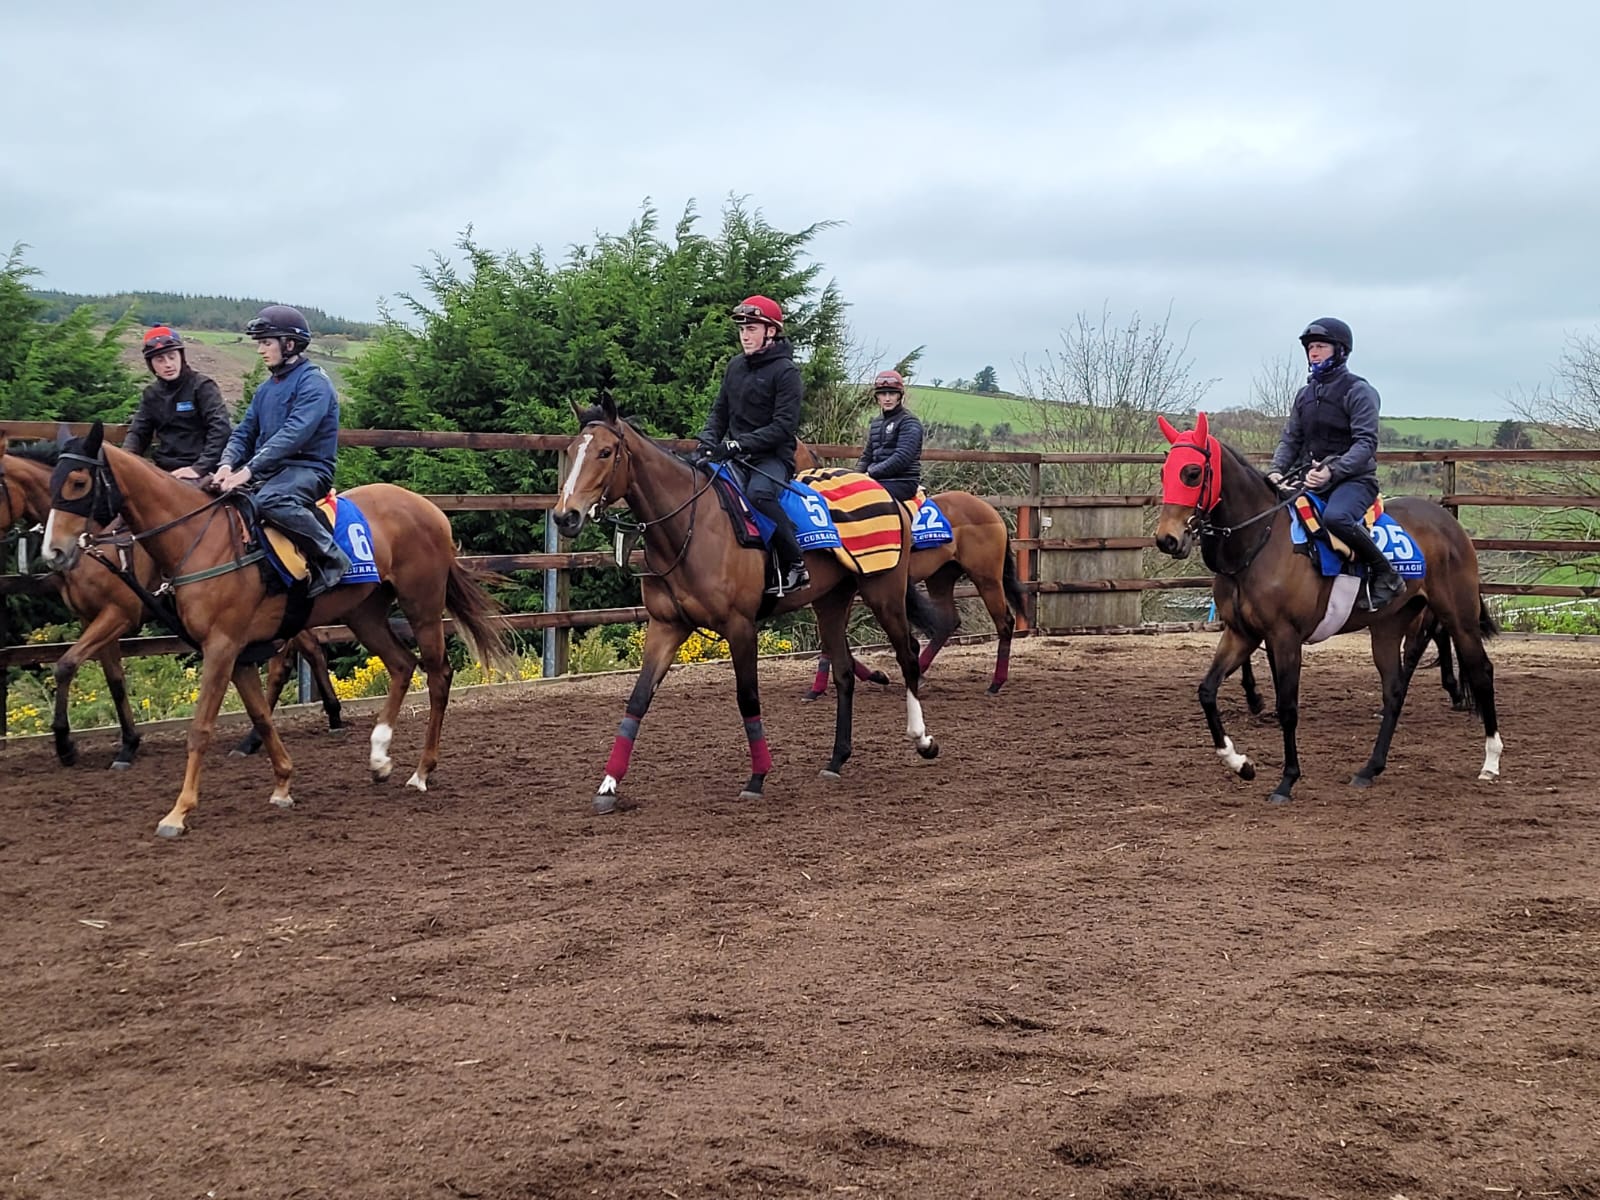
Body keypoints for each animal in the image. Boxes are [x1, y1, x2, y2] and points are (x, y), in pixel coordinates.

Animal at [1, 438, 340, 764]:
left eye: (78, 483)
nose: (54, 552)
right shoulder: (91, 617)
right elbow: (114, 679)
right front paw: (127, 743)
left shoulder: (118, 614)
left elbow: (66, 665)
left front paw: (66, 745)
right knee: (309, 649)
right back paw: (319, 717)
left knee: (290, 661)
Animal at [40, 422, 508, 838]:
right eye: (54, 482)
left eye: (78, 482)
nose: (54, 552)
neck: (200, 540)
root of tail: (428, 508)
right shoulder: (238, 654)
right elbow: (262, 718)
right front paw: (283, 783)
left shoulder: (221, 647)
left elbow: (200, 728)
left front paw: (178, 812)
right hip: (364, 613)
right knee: (401, 665)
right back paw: (379, 758)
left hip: (422, 606)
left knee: (438, 676)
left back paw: (421, 771)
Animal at [550, 396, 934, 819]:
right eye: (572, 450)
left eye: (605, 452)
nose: (565, 516)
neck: (689, 527)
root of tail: (886, 493)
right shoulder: (666, 626)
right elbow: (637, 699)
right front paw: (608, 784)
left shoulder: (740, 627)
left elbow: (747, 697)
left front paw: (758, 776)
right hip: (831, 602)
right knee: (844, 673)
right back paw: (836, 759)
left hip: (884, 592)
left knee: (907, 654)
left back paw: (922, 739)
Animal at [796, 441, 1030, 694]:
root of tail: (990, 511)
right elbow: (830, 639)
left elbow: (831, 639)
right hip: (941, 576)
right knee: (947, 622)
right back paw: (921, 670)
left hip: (987, 578)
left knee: (1004, 623)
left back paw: (995, 683)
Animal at [1152, 416, 1497, 809]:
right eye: (1165, 471)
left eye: (1193, 473)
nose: (1167, 539)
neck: (1261, 541)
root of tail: (1450, 523)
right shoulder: (1242, 633)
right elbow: (1207, 691)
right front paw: (1240, 763)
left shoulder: (1284, 637)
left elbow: (1288, 708)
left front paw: (1287, 780)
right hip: (1388, 627)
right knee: (1394, 690)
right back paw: (1370, 768)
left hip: (1459, 616)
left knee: (1481, 672)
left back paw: (1491, 761)